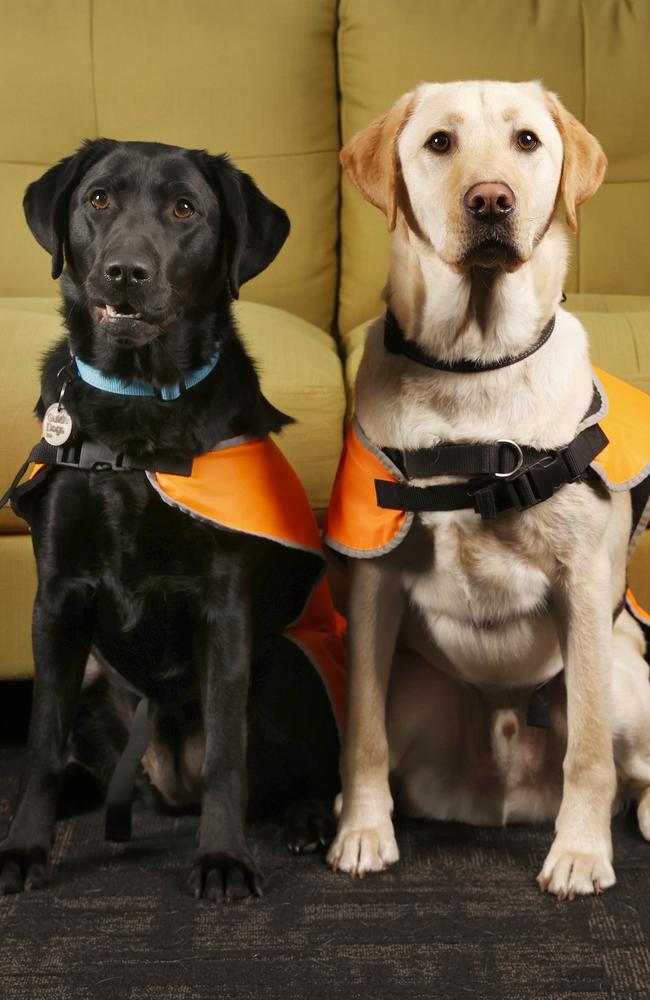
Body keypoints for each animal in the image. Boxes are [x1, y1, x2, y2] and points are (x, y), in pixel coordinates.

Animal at [0, 139, 342, 900]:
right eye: (98, 199)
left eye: (185, 209)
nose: (125, 271)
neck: (135, 408)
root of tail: (163, 781)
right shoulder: (56, 599)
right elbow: (38, 744)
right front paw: (24, 850)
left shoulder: (225, 608)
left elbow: (225, 756)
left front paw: (223, 859)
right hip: (94, 680)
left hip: (285, 660)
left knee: (304, 771)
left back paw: (308, 820)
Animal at [326, 80, 648, 900]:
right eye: (439, 142)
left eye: (527, 140)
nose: (491, 199)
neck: (473, 368)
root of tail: (505, 792)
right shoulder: (373, 585)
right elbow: (362, 735)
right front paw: (362, 832)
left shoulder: (582, 586)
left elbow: (588, 754)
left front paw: (580, 853)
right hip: (416, 685)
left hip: (626, 674)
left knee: (629, 769)